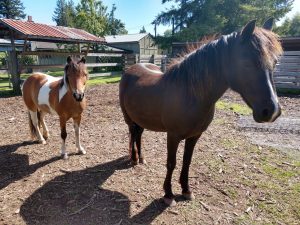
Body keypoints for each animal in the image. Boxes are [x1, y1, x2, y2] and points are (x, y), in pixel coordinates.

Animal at [118, 19, 282, 206]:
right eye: (247, 63)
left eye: (275, 62)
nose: (272, 111)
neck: (190, 93)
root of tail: (131, 69)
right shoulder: (173, 136)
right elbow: (171, 163)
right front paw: (168, 194)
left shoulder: (194, 136)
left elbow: (187, 162)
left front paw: (186, 190)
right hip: (129, 118)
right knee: (133, 133)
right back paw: (133, 158)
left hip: (141, 119)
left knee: (138, 134)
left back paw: (141, 158)